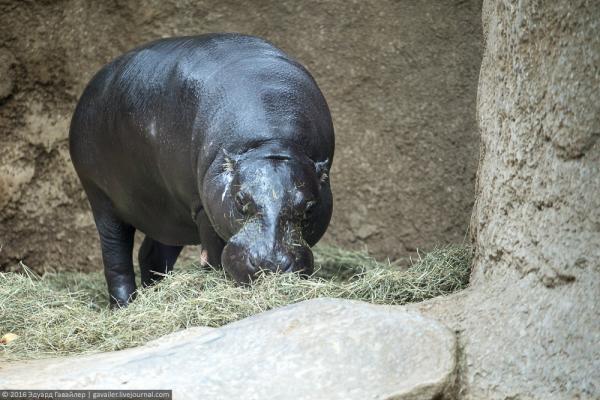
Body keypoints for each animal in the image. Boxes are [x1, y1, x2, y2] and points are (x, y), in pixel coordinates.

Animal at [69, 33, 338, 306]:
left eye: (309, 208)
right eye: (240, 200)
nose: (269, 266)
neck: (271, 142)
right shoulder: (201, 208)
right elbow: (213, 254)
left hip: (169, 212)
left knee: (151, 254)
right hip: (101, 198)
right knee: (116, 258)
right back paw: (124, 306)